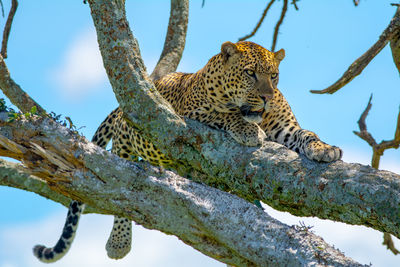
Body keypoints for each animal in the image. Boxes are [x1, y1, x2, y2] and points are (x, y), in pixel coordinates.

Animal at [32, 40, 342, 262]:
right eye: (250, 74)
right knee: (121, 193)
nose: (266, 97)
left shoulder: (285, 129)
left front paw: (325, 149)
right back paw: (119, 242)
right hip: (124, 145)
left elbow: (306, 134)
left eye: (274, 76)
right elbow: (225, 115)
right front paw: (248, 130)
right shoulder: (189, 114)